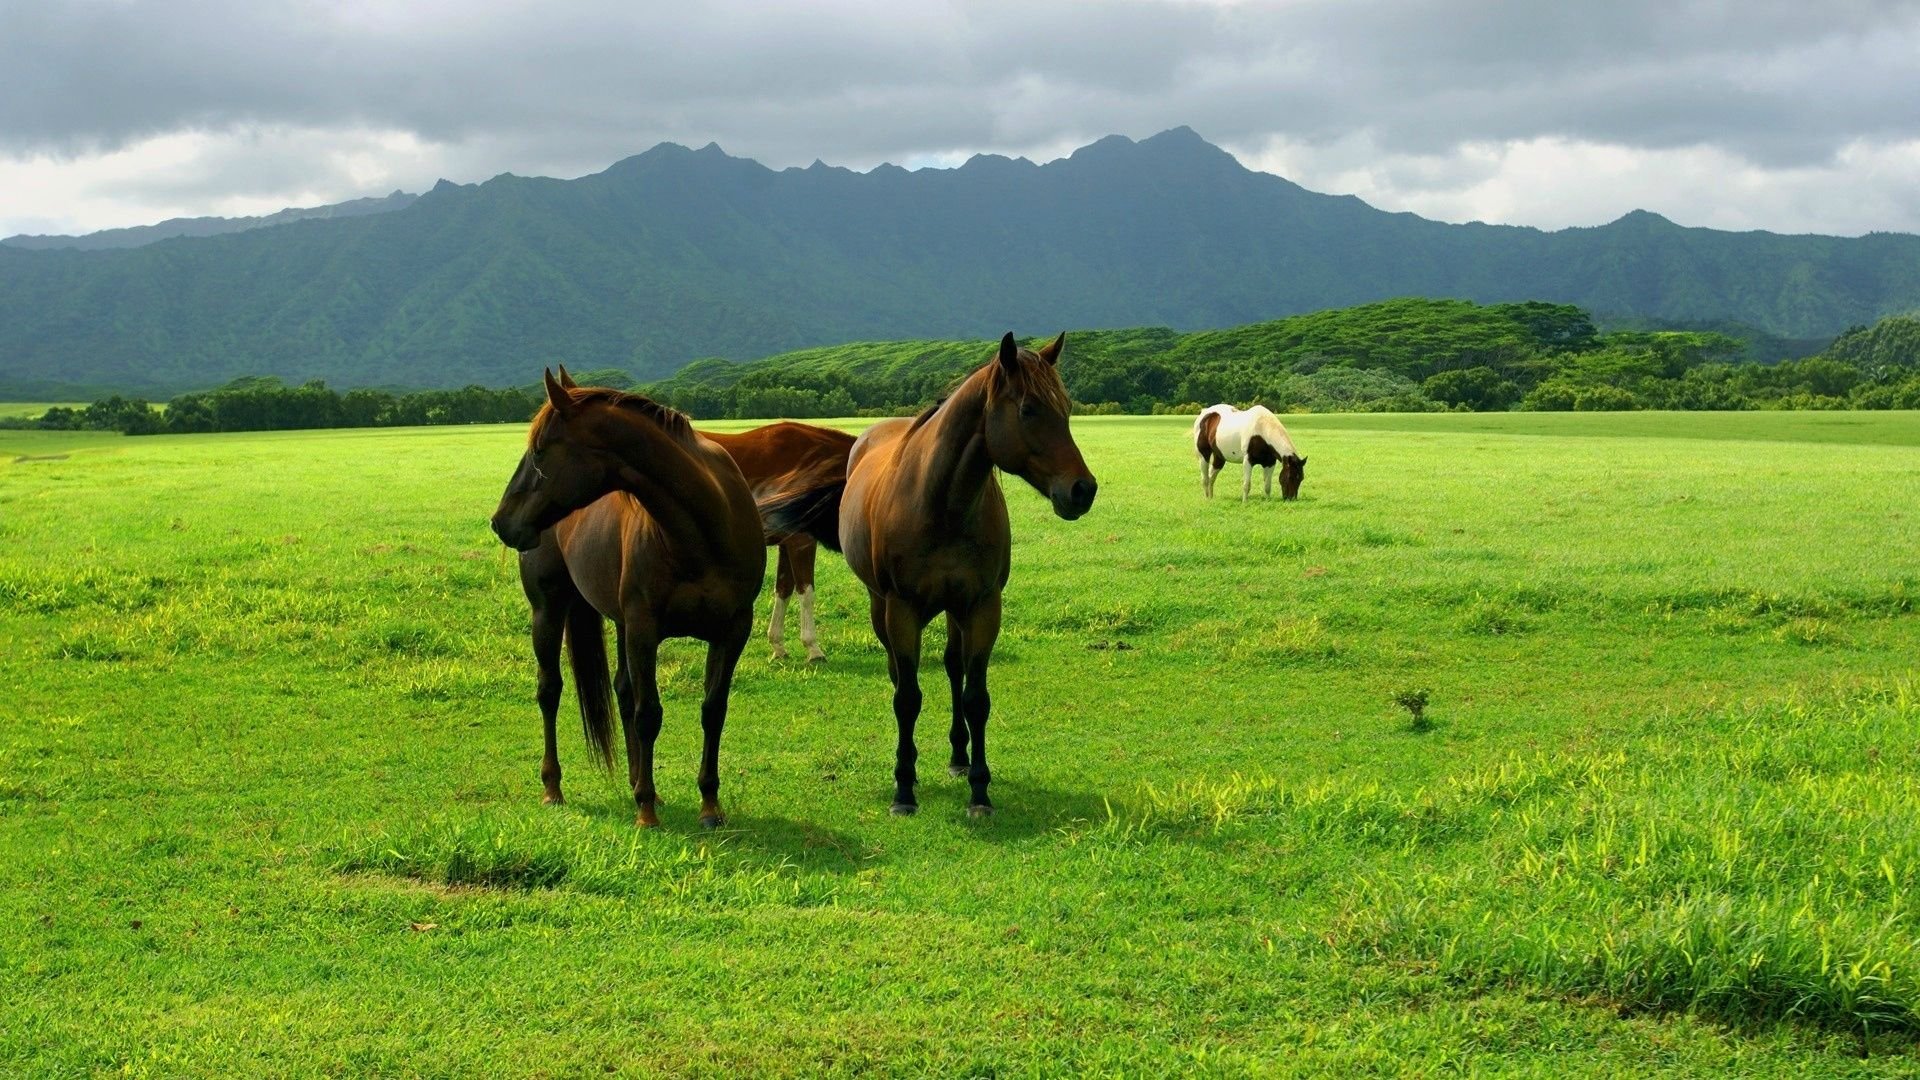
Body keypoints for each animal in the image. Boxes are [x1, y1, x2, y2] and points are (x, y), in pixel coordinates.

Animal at [489, 368, 767, 829]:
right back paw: (554, 787)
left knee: (621, 690)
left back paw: (637, 779)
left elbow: (713, 710)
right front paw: (646, 811)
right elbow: (648, 713)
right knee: (550, 690)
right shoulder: (643, 629)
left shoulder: (732, 631)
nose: (500, 522)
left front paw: (709, 804)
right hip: (549, 611)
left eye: (540, 452)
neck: (703, 530)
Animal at [767, 332, 1097, 818]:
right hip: (881, 607)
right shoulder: (902, 610)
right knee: (898, 675)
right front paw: (904, 788)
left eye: (1067, 407)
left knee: (953, 668)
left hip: (955, 612)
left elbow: (976, 697)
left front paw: (979, 790)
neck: (942, 504)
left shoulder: (982, 606)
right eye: (1028, 409)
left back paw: (959, 756)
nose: (1082, 490)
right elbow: (907, 697)